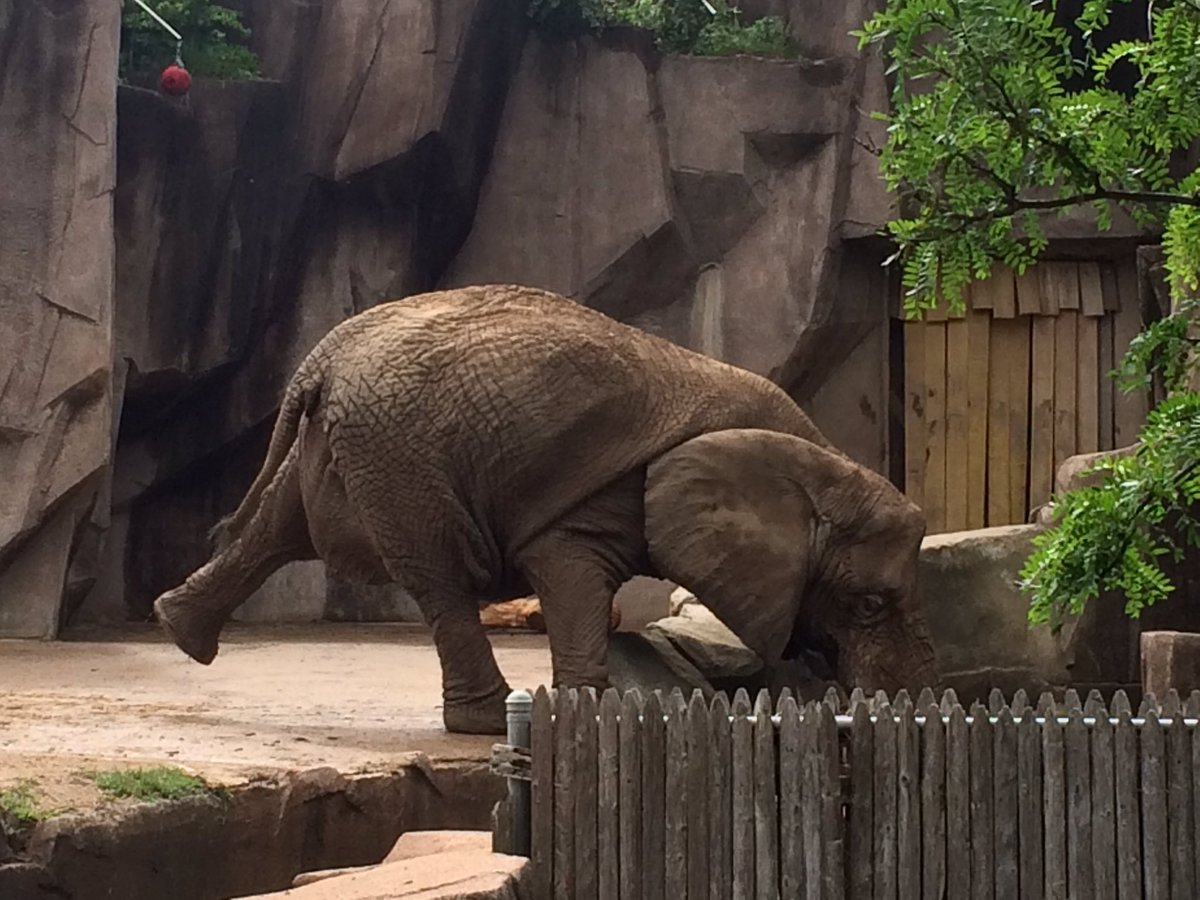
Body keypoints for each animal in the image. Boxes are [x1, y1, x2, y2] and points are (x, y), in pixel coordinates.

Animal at [154, 285, 937, 734]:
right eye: (870, 604)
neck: (818, 460)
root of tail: (324, 354)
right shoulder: (609, 495)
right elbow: (570, 568)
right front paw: (592, 712)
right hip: (399, 452)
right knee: (438, 579)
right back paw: (481, 722)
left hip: (351, 441)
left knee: (280, 525)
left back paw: (179, 631)